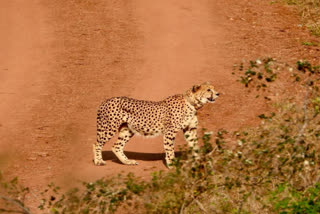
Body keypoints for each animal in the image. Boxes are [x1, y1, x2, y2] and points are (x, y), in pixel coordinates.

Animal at [91, 83, 219, 168]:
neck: (192, 104)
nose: (218, 93)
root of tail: (106, 101)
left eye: (213, 88)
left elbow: (194, 145)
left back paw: (128, 162)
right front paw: (171, 164)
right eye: (209, 90)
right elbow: (169, 149)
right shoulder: (170, 132)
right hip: (109, 128)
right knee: (97, 144)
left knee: (116, 146)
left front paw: (199, 160)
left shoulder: (190, 129)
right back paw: (98, 161)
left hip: (127, 130)